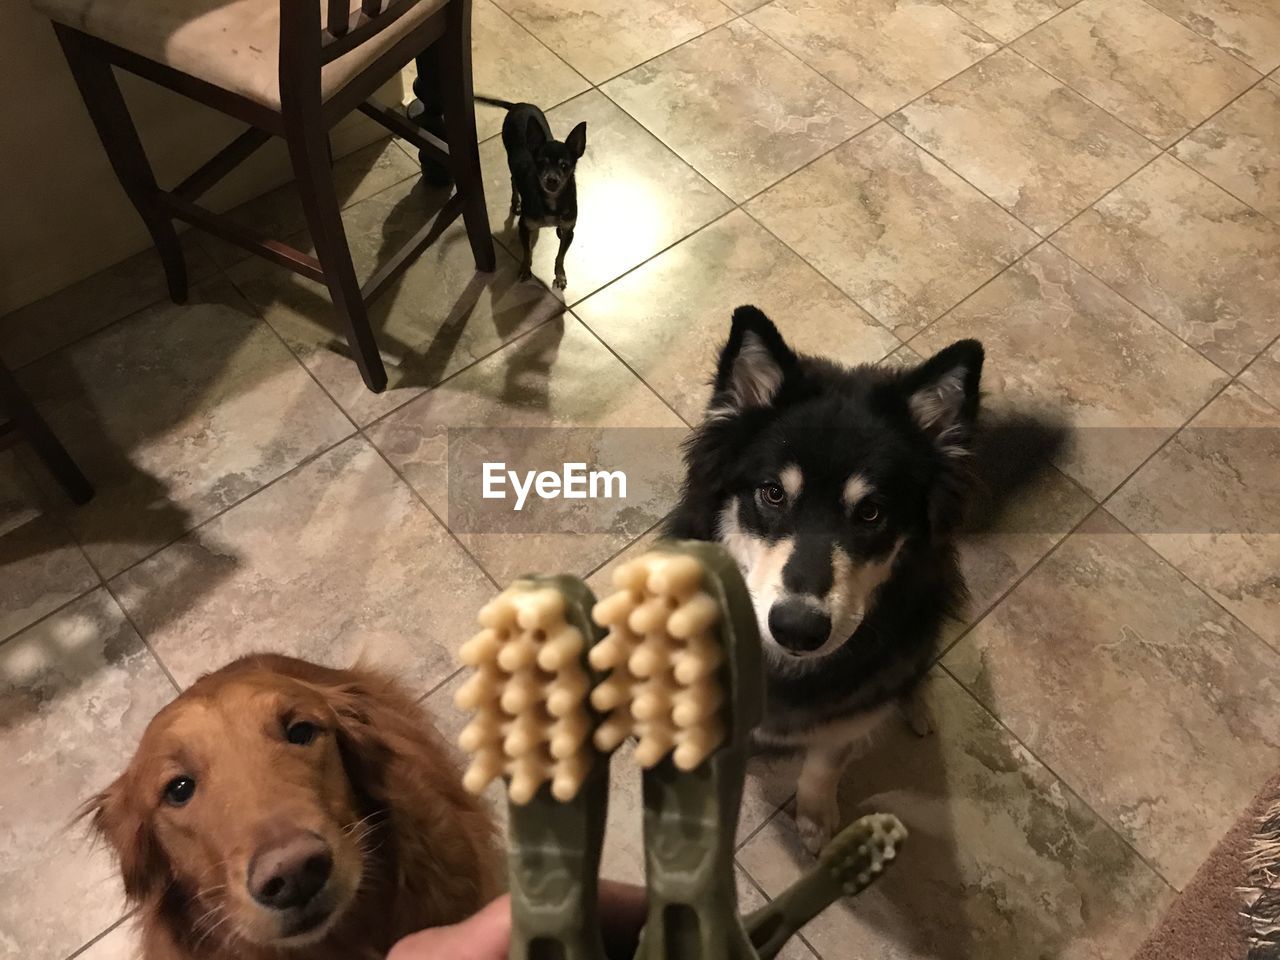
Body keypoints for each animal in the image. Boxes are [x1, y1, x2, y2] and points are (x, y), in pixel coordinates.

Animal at [670, 304, 977, 855]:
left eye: (872, 513)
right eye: (772, 493)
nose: (797, 629)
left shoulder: (845, 720)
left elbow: (825, 763)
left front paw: (815, 819)